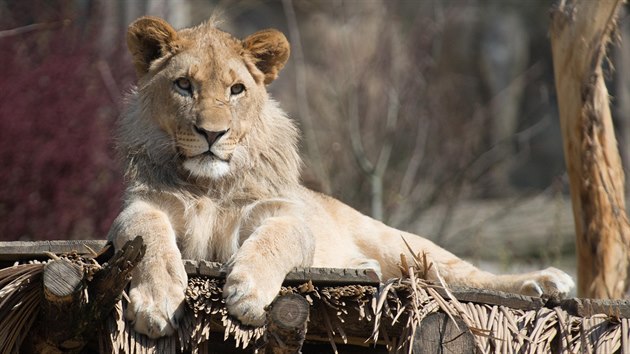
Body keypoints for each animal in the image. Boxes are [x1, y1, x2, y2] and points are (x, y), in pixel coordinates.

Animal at [110, 15, 576, 338]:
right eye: (183, 85)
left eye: (236, 90)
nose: (212, 133)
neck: (209, 184)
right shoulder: (140, 209)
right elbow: (149, 237)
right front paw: (156, 302)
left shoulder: (285, 215)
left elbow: (277, 239)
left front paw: (248, 291)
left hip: (401, 243)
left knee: (461, 274)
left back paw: (545, 281)